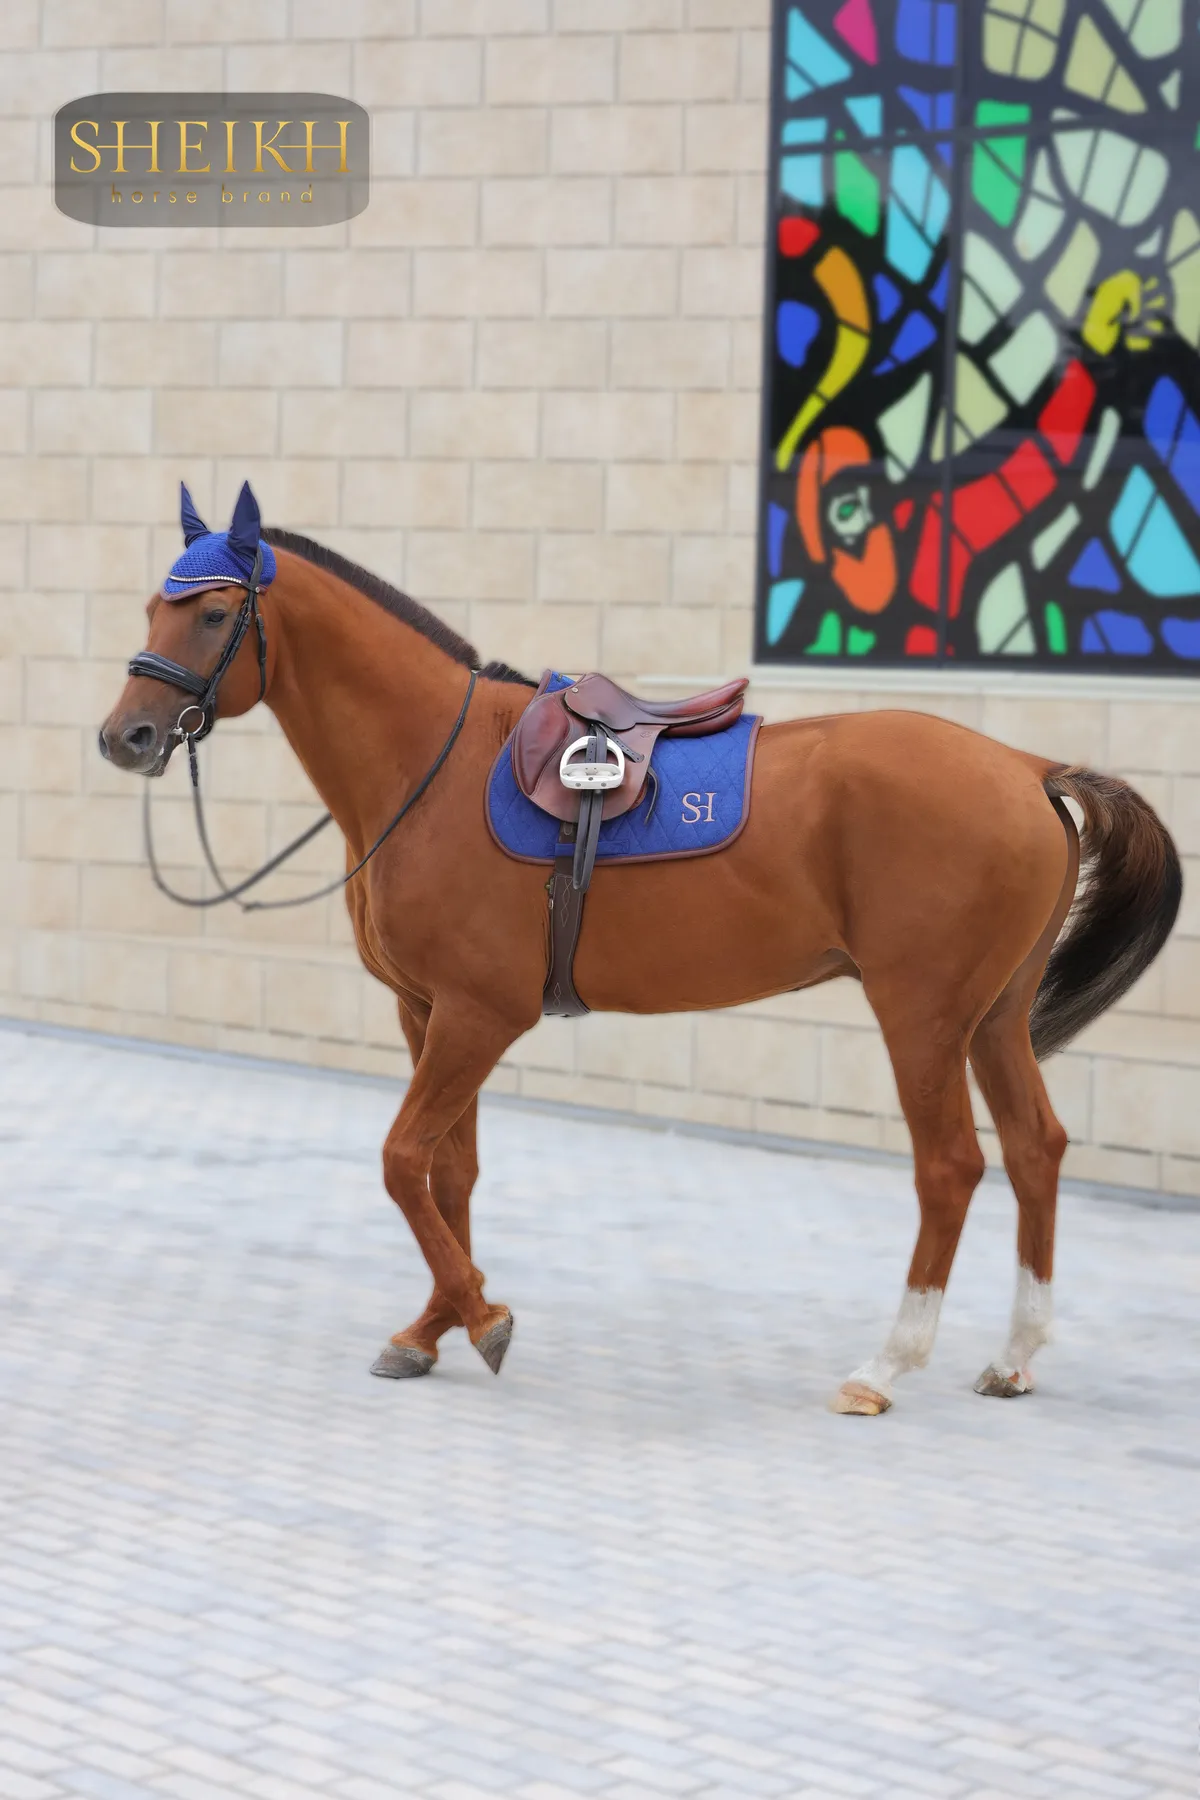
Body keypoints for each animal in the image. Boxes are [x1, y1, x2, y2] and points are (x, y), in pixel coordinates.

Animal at [98, 484, 1181, 1414]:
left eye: (212, 615)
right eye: (154, 606)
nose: (127, 737)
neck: (431, 764)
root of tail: (1027, 768)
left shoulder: (479, 1016)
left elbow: (403, 1161)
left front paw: (483, 1318)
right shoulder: (429, 1011)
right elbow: (450, 1174)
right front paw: (434, 1325)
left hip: (923, 1014)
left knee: (950, 1166)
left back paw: (884, 1366)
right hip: (997, 1015)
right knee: (1037, 1148)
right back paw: (1013, 1358)